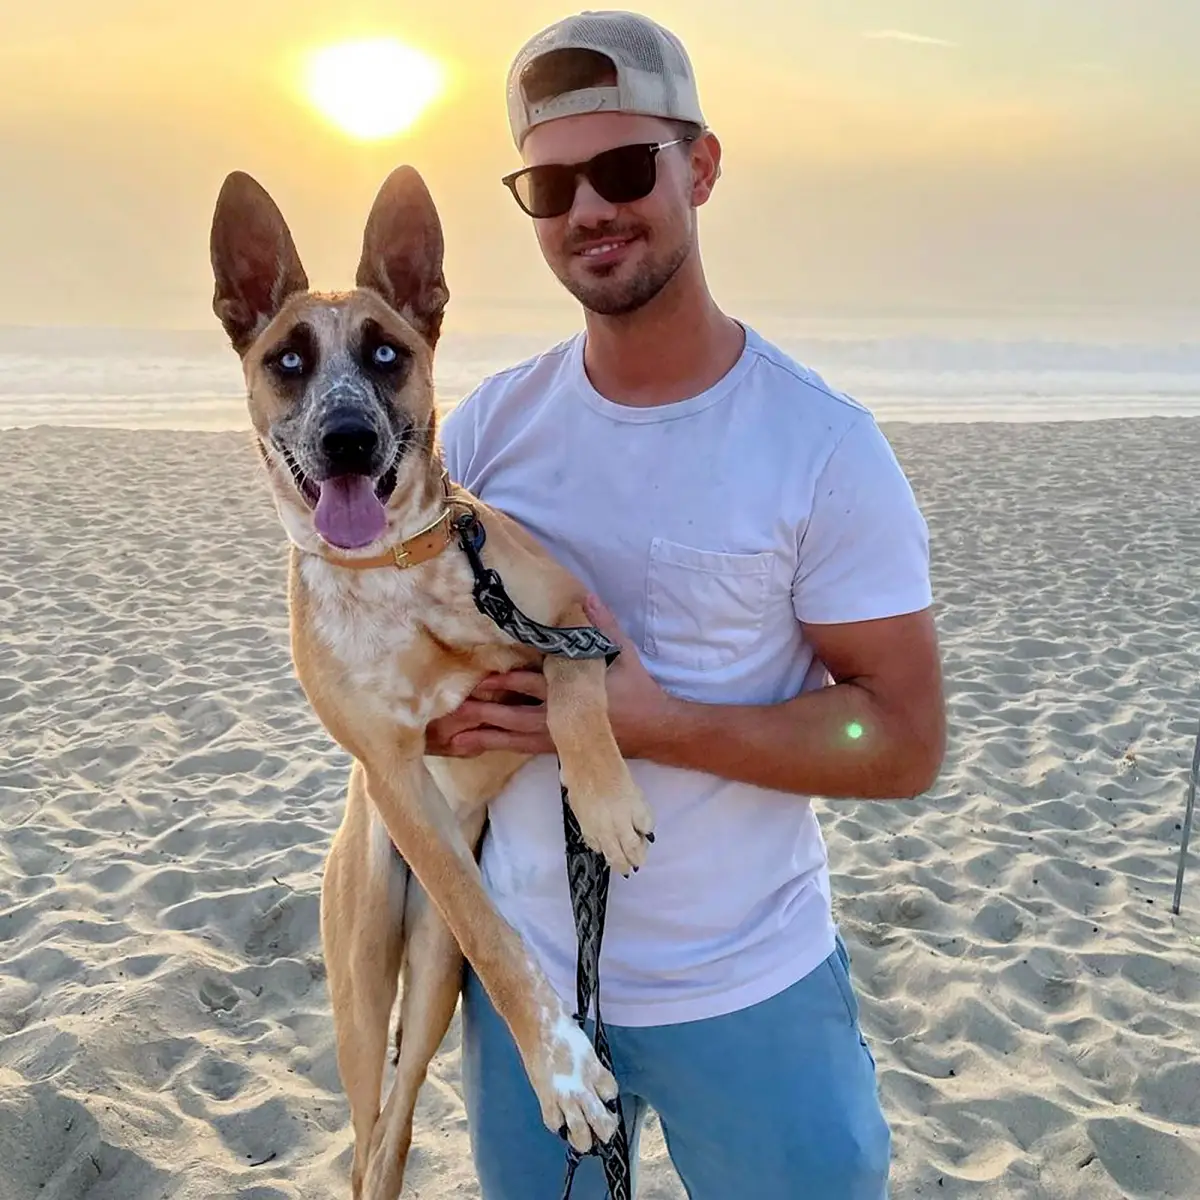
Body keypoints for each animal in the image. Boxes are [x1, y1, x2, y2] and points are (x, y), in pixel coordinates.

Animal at [209, 165, 655, 1198]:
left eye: (385, 352)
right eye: (287, 360)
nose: (346, 439)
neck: (394, 572)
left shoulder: (567, 614)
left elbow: (575, 693)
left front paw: (605, 805)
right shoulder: (395, 775)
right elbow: (496, 936)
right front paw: (564, 1072)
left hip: (433, 973)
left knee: (398, 1123)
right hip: (370, 970)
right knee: (371, 1134)